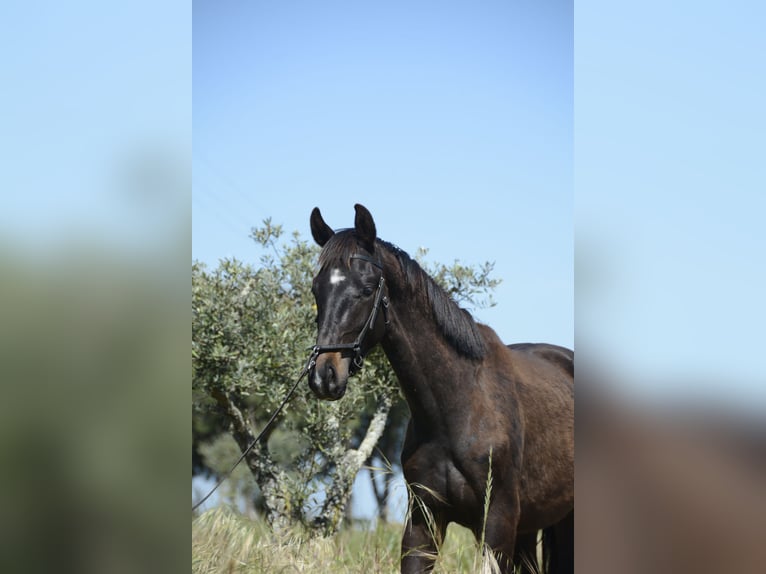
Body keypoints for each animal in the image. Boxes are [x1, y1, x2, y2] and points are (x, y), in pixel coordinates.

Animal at [307, 204, 573, 573]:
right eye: (316, 290)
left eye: (366, 288)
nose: (324, 375)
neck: (457, 406)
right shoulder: (423, 522)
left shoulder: (497, 524)